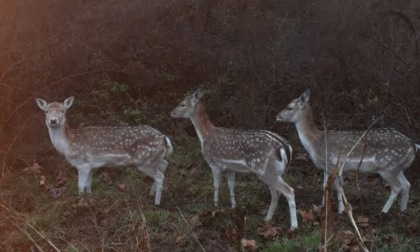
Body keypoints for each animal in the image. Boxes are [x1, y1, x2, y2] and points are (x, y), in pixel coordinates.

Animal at [36, 96, 172, 205]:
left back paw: (157, 203)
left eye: (62, 110)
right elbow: (88, 185)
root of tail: (164, 138)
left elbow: (80, 185)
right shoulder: (90, 165)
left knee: (160, 176)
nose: (53, 120)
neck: (68, 144)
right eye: (46, 111)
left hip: (145, 160)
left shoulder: (83, 163)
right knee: (164, 164)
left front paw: (81, 203)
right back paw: (151, 194)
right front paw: (90, 200)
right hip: (155, 158)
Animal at [169, 89, 296, 229]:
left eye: (182, 104)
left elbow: (216, 184)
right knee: (276, 193)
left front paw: (215, 206)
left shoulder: (214, 163)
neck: (205, 136)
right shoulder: (231, 168)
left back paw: (293, 226)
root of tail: (286, 148)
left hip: (266, 170)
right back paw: (267, 218)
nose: (171, 113)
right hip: (274, 171)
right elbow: (231, 185)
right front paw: (233, 207)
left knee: (288, 191)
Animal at [276, 89, 416, 214]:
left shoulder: (333, 164)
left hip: (387, 167)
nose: (277, 116)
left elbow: (337, 187)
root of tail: (414, 146)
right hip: (397, 167)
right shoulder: (326, 167)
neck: (314, 143)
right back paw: (402, 210)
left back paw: (383, 211)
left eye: (290, 107)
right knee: (407, 184)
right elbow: (325, 186)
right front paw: (323, 207)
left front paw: (341, 210)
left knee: (397, 187)